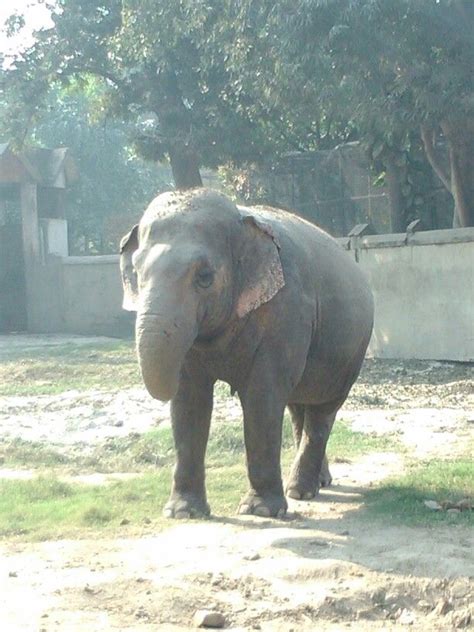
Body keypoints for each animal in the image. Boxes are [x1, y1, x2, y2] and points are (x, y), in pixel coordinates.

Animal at [119, 188, 374, 520]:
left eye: (205, 277)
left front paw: (261, 511)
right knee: (298, 408)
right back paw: (318, 484)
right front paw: (183, 512)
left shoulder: (286, 312)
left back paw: (300, 491)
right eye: (136, 273)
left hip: (351, 354)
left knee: (322, 411)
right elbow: (189, 401)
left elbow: (262, 397)